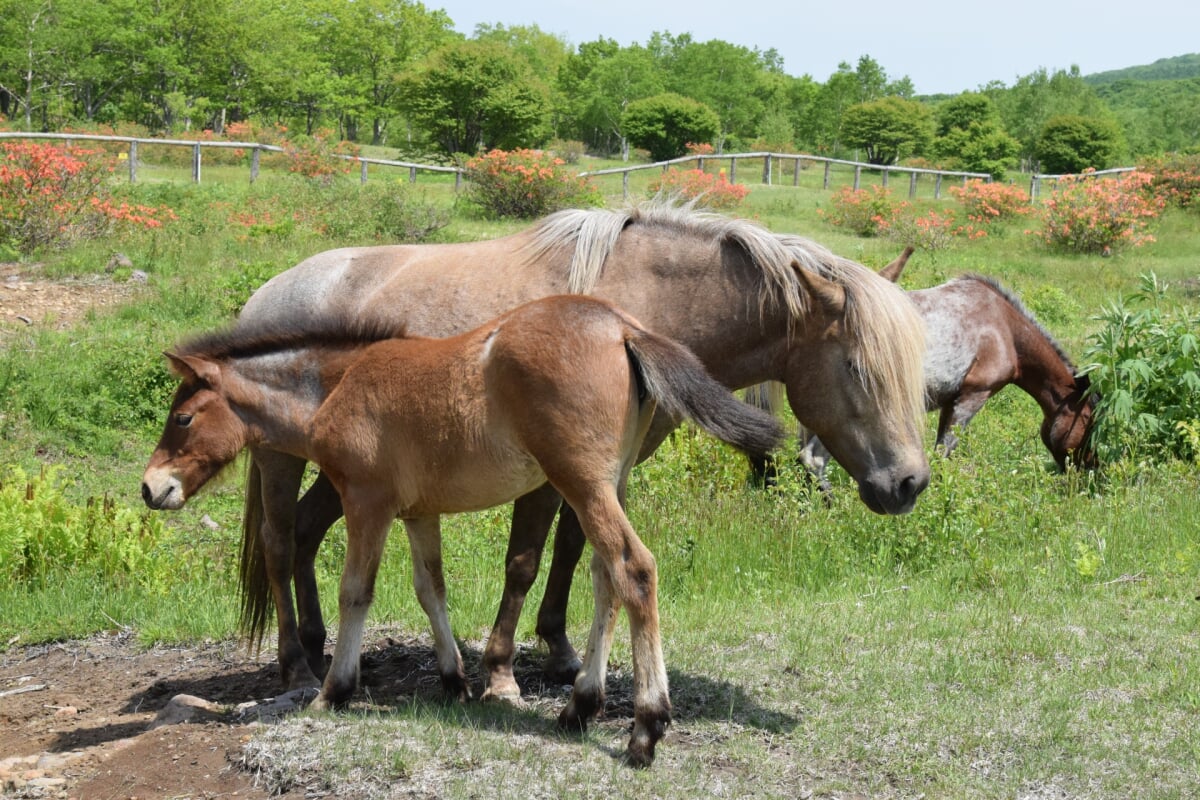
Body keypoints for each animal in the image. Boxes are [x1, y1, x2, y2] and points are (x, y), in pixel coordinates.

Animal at [142, 292, 787, 762]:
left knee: (634, 569)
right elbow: (431, 588)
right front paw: (453, 680)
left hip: (580, 479)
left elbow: (357, 592)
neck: (336, 385)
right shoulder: (417, 511)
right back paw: (579, 708)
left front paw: (334, 692)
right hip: (612, 480)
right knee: (606, 578)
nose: (151, 488)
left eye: (183, 418)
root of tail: (622, 327)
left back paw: (645, 729)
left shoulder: (369, 502)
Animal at [231, 205, 926, 700]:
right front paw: (502, 671)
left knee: (305, 533)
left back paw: (320, 647)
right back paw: (296, 667)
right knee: (277, 542)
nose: (909, 483)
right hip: (280, 460)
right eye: (857, 367)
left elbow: (575, 552)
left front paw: (563, 654)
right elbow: (525, 561)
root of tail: (266, 294)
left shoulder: (600, 472)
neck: (642, 305)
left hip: (349, 471)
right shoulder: (550, 474)